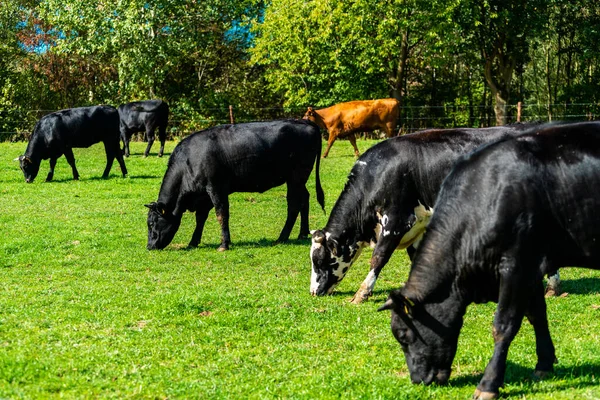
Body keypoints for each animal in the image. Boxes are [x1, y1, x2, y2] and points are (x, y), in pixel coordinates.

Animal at [145, 118, 324, 250]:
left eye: (152, 223)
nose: (149, 246)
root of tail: (305, 122)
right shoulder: (204, 196)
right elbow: (200, 218)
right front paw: (193, 242)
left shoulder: (216, 188)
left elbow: (221, 214)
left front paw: (224, 244)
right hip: (298, 179)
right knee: (305, 198)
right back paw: (302, 233)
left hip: (296, 177)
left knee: (293, 204)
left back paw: (282, 237)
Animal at [310, 124, 564, 304]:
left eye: (320, 260)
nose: (313, 291)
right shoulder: (418, 225)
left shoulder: (396, 221)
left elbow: (379, 257)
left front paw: (362, 294)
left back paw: (552, 287)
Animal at [380, 122, 600, 400]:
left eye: (403, 335)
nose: (417, 380)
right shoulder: (532, 268)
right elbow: (537, 315)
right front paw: (544, 364)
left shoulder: (517, 264)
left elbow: (504, 326)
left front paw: (488, 384)